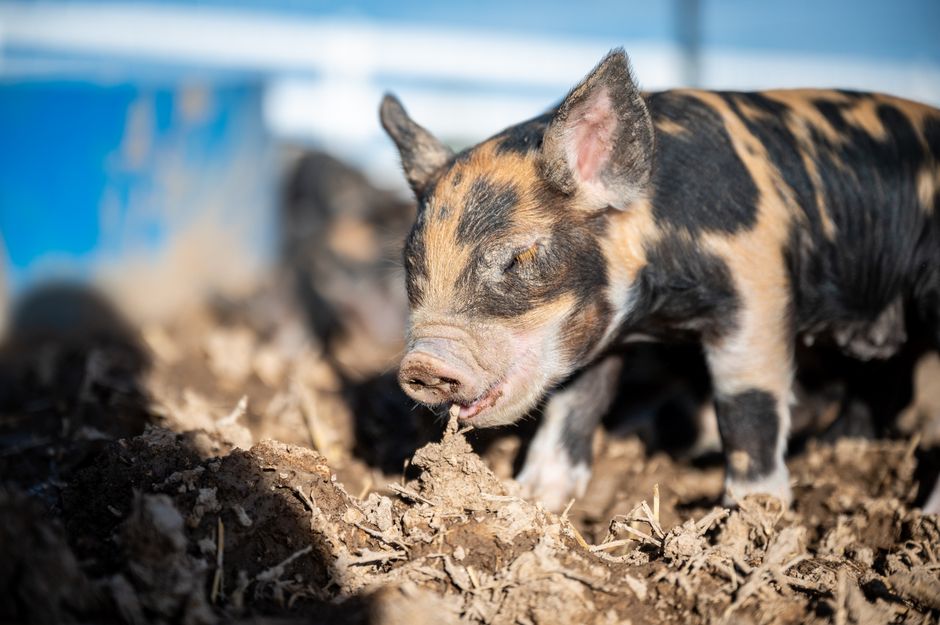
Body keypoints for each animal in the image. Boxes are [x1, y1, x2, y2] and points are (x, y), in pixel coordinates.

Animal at [380, 48, 940, 511]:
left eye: (520, 257)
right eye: (412, 264)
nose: (424, 363)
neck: (657, 311)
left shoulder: (757, 290)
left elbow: (747, 405)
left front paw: (754, 514)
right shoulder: (592, 334)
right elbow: (572, 405)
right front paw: (534, 497)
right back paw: (838, 450)